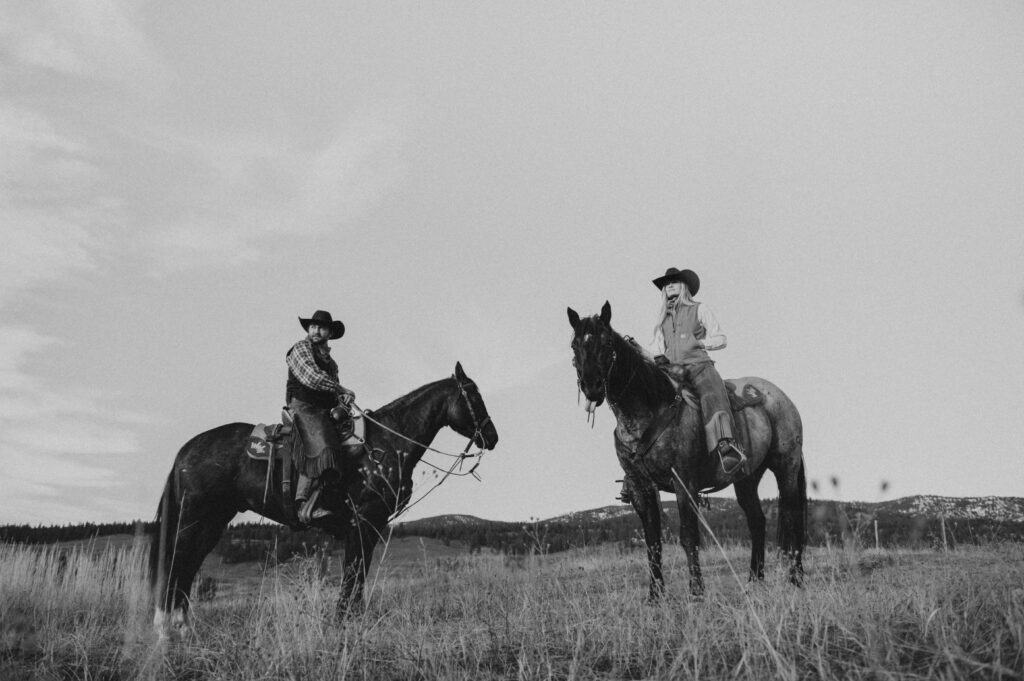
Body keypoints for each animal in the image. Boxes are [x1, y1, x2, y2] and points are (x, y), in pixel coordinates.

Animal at [149, 360, 497, 626]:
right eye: (474, 395)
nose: (492, 437)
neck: (385, 444)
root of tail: (187, 449)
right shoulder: (363, 521)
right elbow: (354, 572)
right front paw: (345, 620)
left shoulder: (371, 526)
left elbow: (357, 573)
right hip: (192, 519)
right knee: (177, 561)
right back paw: (165, 629)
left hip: (214, 521)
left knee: (190, 565)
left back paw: (182, 627)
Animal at [565, 303, 802, 593]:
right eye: (575, 344)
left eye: (607, 342)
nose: (592, 386)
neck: (648, 410)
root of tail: (781, 397)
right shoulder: (640, 487)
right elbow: (653, 542)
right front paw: (655, 595)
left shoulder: (684, 483)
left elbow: (688, 536)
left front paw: (696, 591)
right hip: (747, 479)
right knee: (757, 521)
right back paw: (754, 580)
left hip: (786, 467)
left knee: (792, 517)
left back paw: (795, 579)